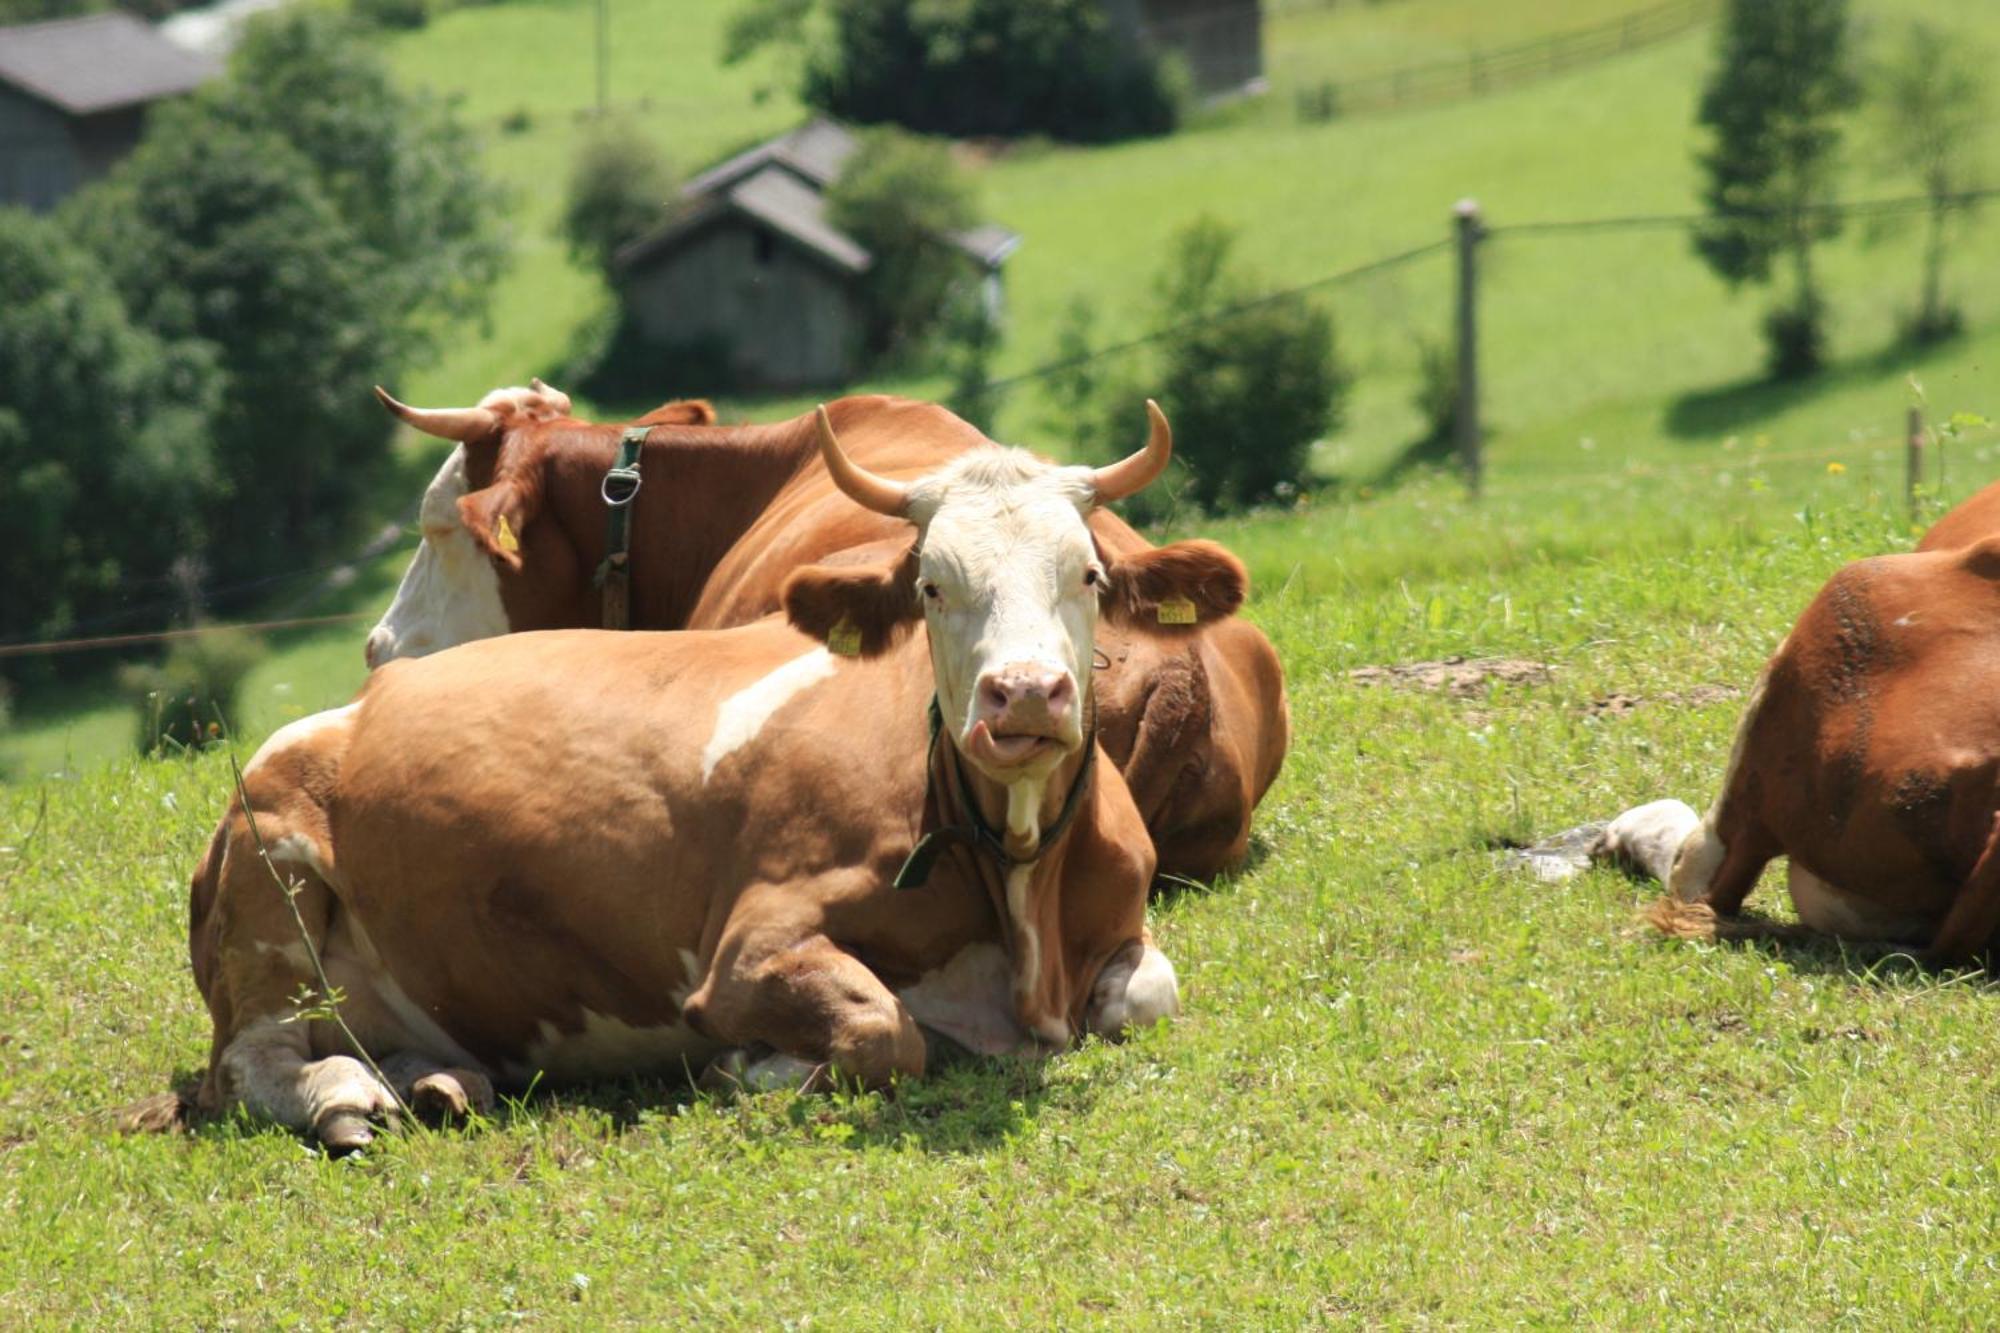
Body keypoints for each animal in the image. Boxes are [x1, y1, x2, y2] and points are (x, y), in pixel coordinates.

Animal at [180, 400, 1240, 1144]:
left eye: (1088, 575)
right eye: (931, 584)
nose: (1024, 696)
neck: (1017, 885)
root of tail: (348, 711)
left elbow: (1150, 994)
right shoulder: (748, 949)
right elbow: (883, 1031)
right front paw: (752, 1066)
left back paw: (439, 1081)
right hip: (273, 879)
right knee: (249, 1062)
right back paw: (344, 1097)